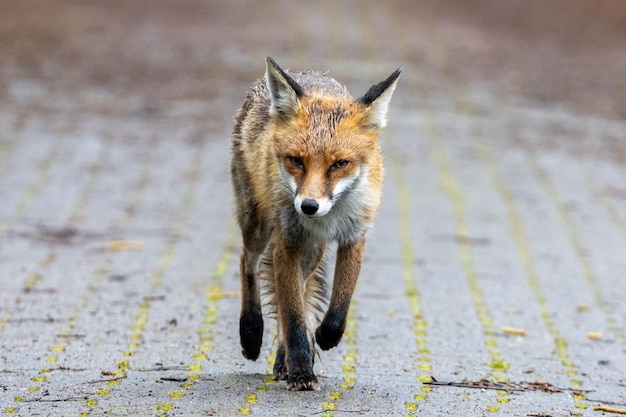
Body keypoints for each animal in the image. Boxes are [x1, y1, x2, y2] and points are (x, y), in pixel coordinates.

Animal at [230, 56, 400, 390]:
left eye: (340, 164)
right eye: (296, 160)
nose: (308, 207)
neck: (329, 218)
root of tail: (304, 72)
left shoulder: (354, 237)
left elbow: (338, 306)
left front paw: (323, 338)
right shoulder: (287, 244)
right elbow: (294, 317)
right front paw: (301, 373)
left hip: (312, 252)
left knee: (298, 289)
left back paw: (284, 358)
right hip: (258, 226)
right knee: (248, 261)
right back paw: (252, 333)